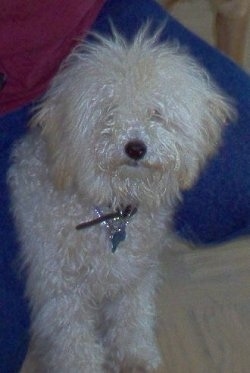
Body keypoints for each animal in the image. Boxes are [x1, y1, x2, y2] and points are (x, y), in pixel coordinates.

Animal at [8, 26, 234, 372]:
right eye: (109, 113)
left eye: (156, 113)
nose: (136, 148)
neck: (110, 212)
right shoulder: (58, 285)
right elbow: (72, 337)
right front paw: (82, 365)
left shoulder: (135, 273)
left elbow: (133, 315)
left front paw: (135, 355)